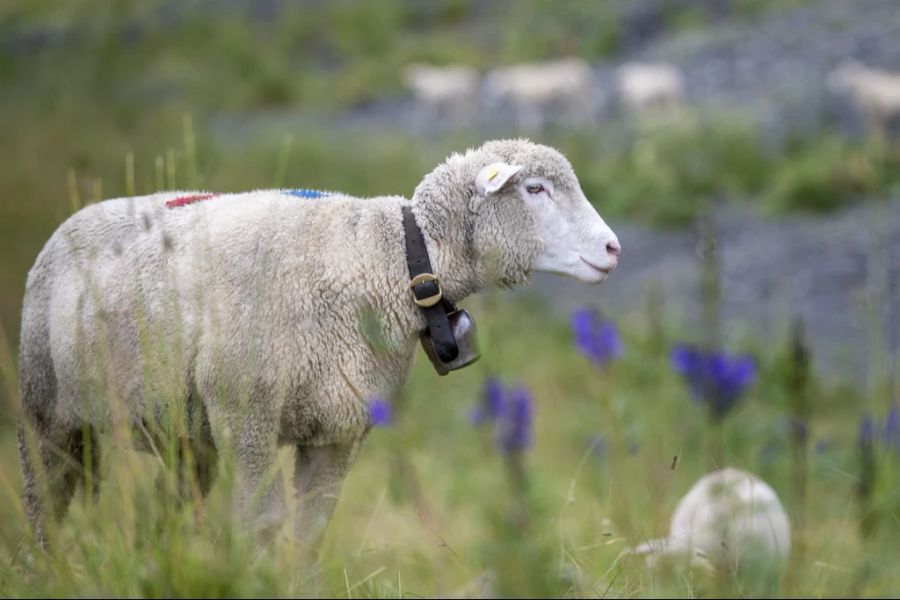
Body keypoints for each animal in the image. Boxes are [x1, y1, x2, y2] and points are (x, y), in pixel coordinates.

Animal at [17, 139, 620, 548]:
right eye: (535, 189)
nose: (614, 248)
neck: (388, 259)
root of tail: (72, 219)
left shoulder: (340, 426)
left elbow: (309, 532)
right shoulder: (247, 414)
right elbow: (262, 526)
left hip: (183, 434)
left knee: (168, 513)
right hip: (44, 413)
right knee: (44, 510)